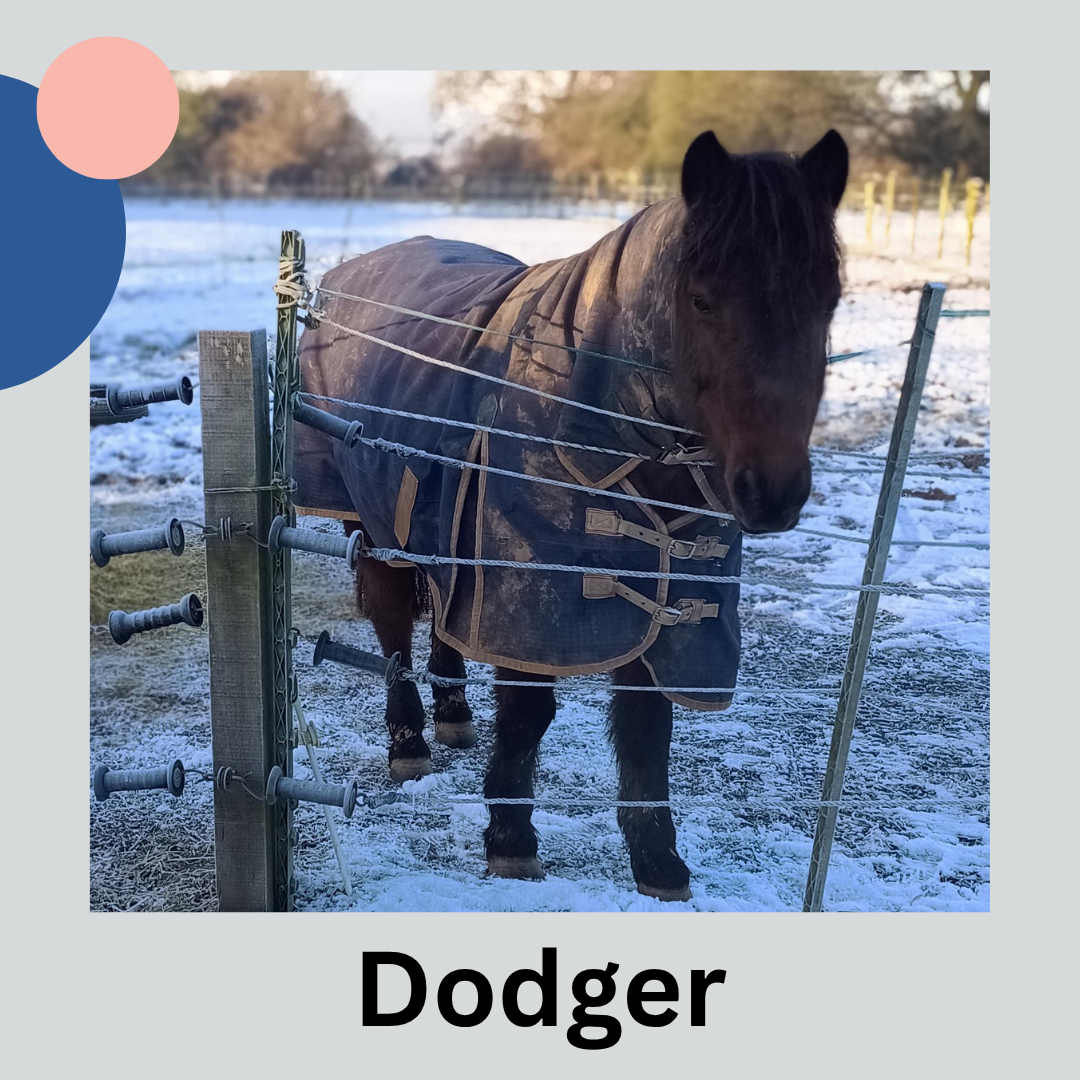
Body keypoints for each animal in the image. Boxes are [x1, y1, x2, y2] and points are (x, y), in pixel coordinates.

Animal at [294, 129, 848, 901]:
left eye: (830, 296)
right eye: (701, 299)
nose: (773, 491)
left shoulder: (666, 593)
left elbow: (647, 724)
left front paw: (658, 861)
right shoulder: (528, 585)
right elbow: (529, 715)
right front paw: (511, 840)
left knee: (442, 611)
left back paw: (454, 714)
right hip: (372, 527)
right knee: (392, 622)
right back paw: (408, 742)